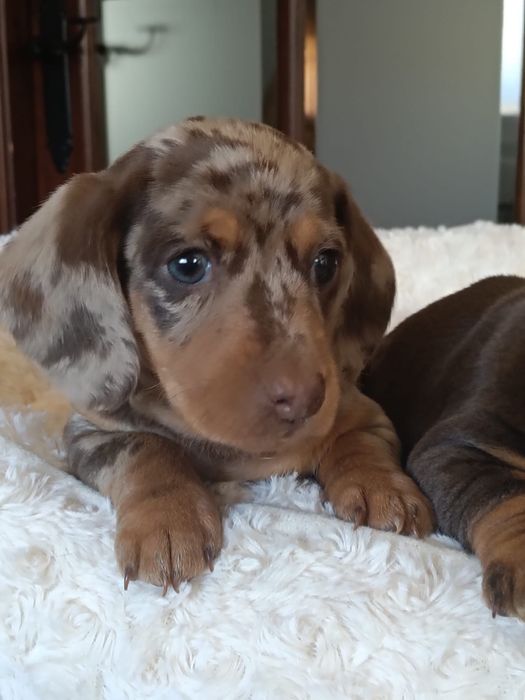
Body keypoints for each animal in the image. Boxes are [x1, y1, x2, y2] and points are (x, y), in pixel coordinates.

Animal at [0, 117, 433, 591]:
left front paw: (384, 487)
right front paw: (168, 519)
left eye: (325, 263)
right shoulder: (94, 431)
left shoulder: (360, 409)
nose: (304, 400)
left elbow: (358, 439)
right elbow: (146, 448)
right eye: (188, 264)